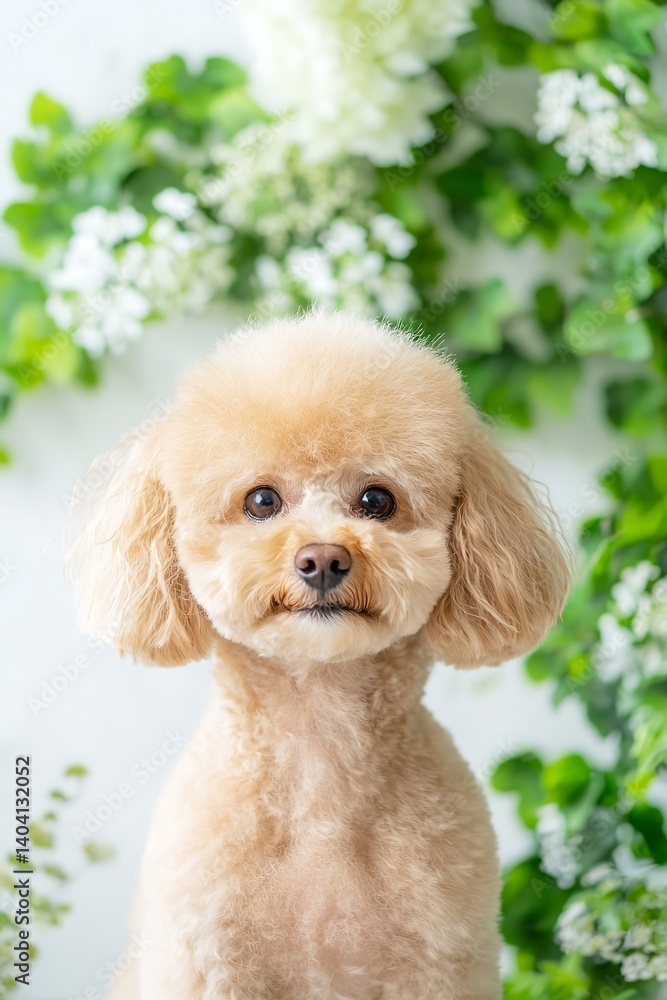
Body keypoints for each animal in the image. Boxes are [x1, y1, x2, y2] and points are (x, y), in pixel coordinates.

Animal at [67, 311, 570, 999]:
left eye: (378, 500)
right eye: (261, 501)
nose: (324, 559)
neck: (319, 757)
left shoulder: (442, 962)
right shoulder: (204, 961)